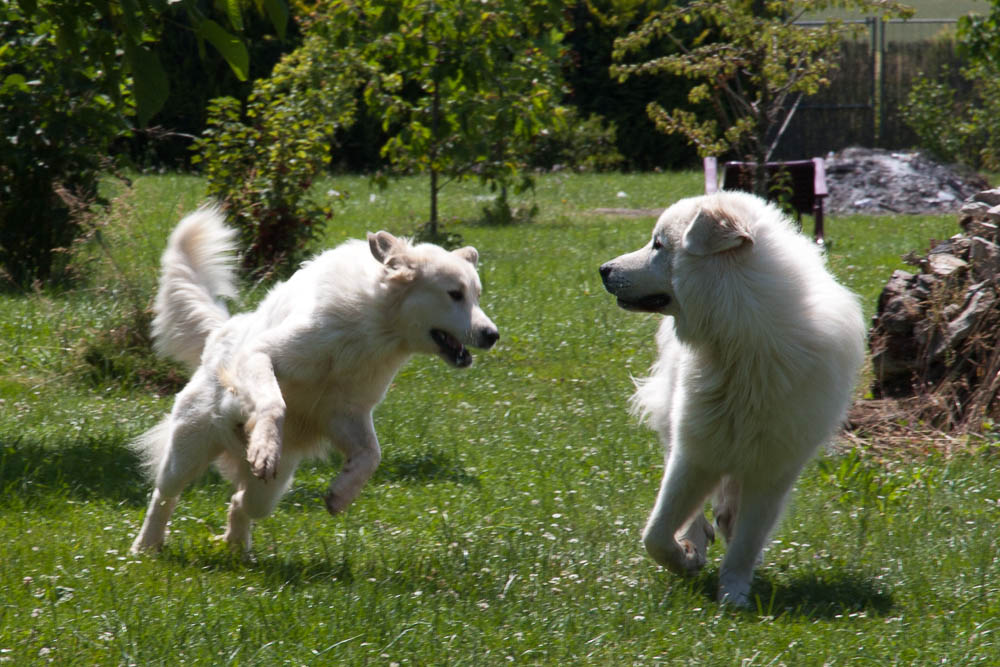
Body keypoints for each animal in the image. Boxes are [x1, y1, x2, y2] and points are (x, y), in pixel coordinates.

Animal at [131, 209, 498, 552]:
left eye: (476, 296)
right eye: (454, 294)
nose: (493, 335)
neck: (373, 328)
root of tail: (221, 329)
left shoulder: (347, 413)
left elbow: (372, 454)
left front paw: (342, 493)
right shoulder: (261, 355)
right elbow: (274, 403)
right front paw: (265, 447)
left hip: (269, 490)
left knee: (241, 502)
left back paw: (237, 548)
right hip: (188, 450)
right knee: (163, 496)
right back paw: (146, 546)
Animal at [596, 190, 864, 608]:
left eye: (659, 245)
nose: (603, 270)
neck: (743, 340)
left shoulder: (772, 470)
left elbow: (746, 542)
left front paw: (734, 595)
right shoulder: (696, 452)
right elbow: (656, 533)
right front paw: (686, 559)